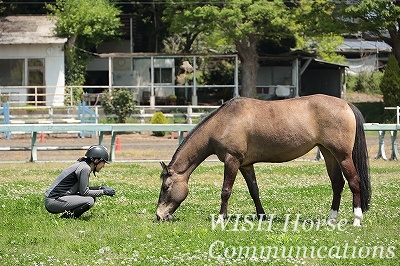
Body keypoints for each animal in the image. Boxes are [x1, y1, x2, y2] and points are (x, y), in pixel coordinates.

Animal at [157, 94, 372, 225]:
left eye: (165, 187)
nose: (159, 215)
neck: (223, 122)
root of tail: (346, 104)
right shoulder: (245, 165)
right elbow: (254, 191)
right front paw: (262, 216)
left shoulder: (232, 161)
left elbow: (226, 191)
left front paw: (220, 218)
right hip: (328, 154)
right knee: (337, 183)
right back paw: (331, 219)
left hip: (343, 156)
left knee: (354, 182)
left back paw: (357, 219)